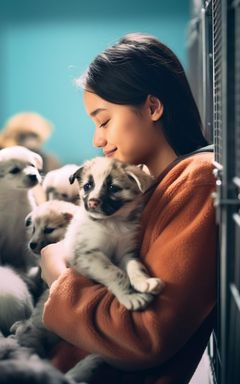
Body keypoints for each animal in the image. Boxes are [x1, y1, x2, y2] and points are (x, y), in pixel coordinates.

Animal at [64, 156, 164, 312]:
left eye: (113, 188)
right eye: (88, 186)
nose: (92, 202)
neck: (112, 223)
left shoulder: (125, 252)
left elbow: (135, 266)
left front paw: (144, 282)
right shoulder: (86, 254)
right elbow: (116, 273)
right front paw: (131, 296)